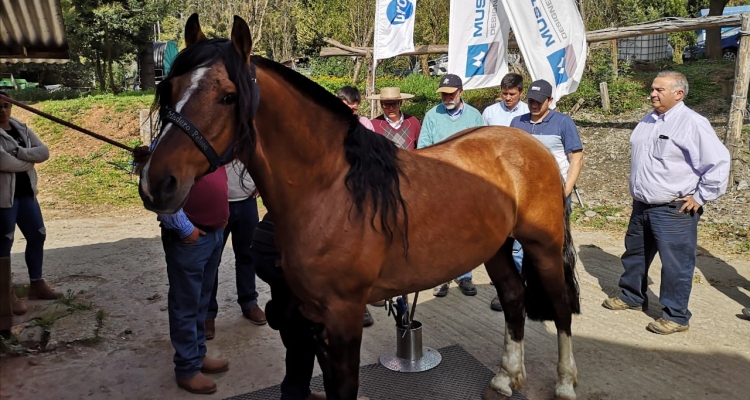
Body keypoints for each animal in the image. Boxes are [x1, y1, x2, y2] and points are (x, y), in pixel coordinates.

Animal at [141, 14, 584, 400]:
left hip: (542, 246)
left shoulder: (344, 316)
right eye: (171, 88)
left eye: (228, 96)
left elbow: (346, 387)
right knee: (513, 297)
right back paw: (506, 379)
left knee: (560, 307)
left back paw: (565, 383)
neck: (330, 191)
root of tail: (529, 143)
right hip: (496, 247)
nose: (156, 182)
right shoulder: (313, 315)